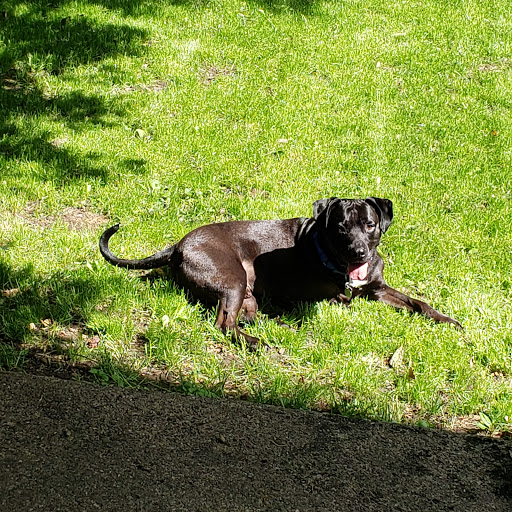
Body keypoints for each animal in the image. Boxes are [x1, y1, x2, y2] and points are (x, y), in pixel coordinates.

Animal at [98, 196, 462, 348]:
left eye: (370, 224)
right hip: (233, 280)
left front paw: (447, 320)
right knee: (223, 324)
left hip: (243, 294)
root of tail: (177, 245)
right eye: (341, 227)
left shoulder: (377, 287)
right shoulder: (313, 296)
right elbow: (339, 299)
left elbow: (417, 302)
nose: (358, 252)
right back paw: (256, 342)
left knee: (240, 316)